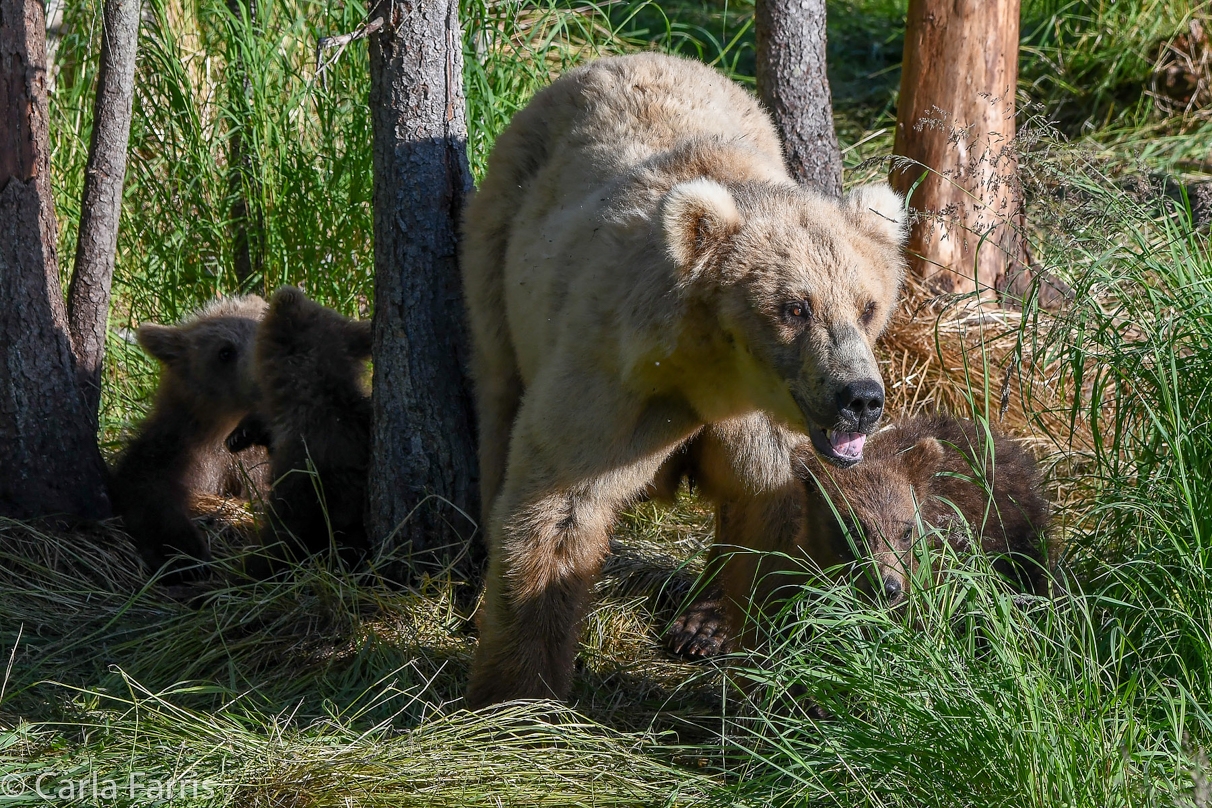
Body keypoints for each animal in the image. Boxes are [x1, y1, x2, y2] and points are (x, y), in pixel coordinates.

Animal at [462, 52, 911, 707]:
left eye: (868, 305)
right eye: (795, 307)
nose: (860, 398)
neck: (704, 375)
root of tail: (625, 56)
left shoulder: (758, 424)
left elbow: (767, 507)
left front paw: (742, 644)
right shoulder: (611, 380)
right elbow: (560, 504)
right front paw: (517, 691)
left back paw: (701, 621)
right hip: (500, 239)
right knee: (496, 396)